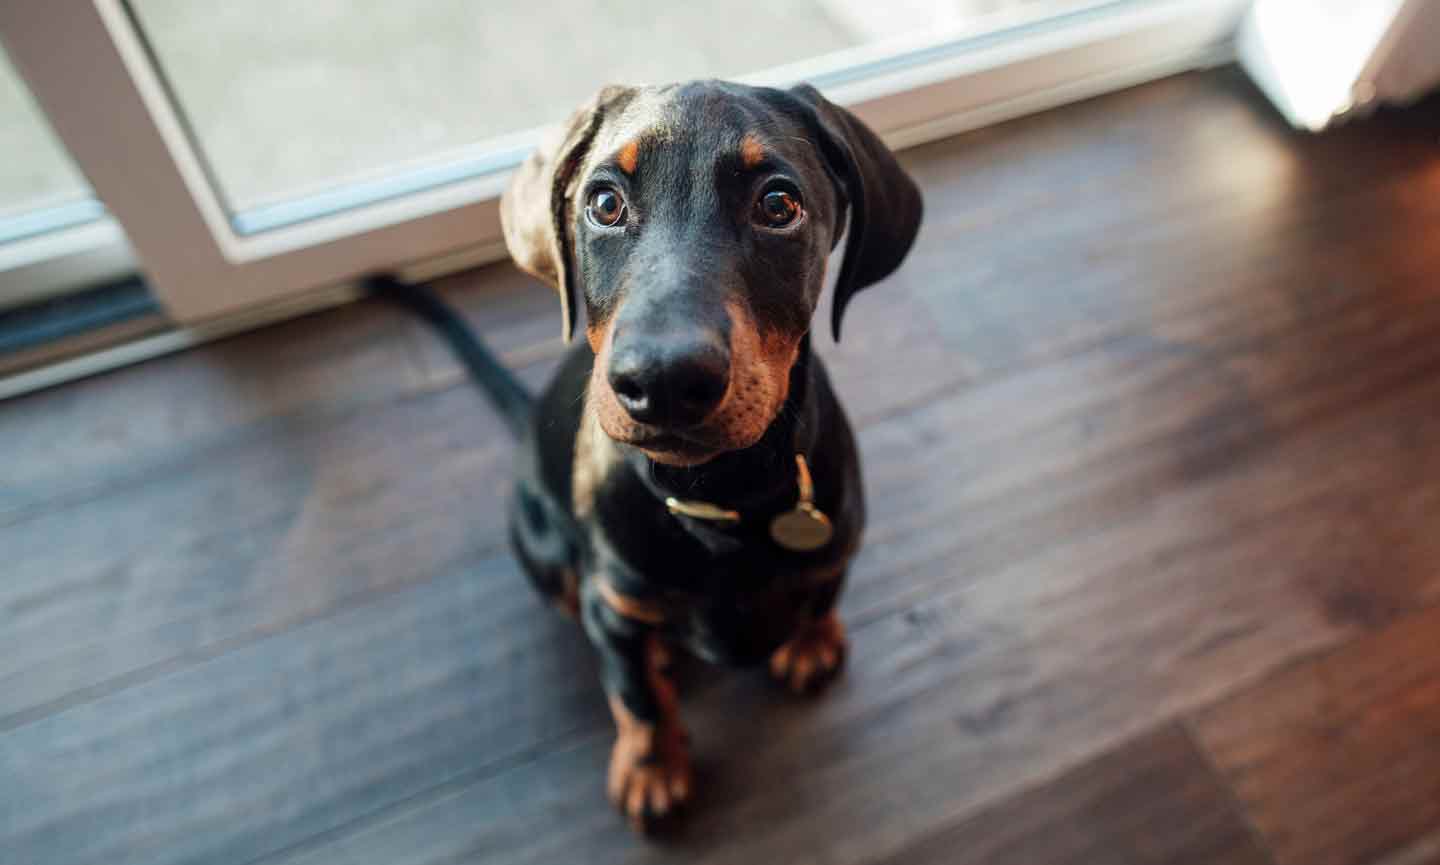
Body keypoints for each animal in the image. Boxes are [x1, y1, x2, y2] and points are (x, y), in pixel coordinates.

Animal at [380, 79, 921, 829]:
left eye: (778, 204)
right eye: (604, 203)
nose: (663, 380)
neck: (719, 496)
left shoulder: (836, 541)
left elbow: (820, 590)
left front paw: (812, 641)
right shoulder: (614, 603)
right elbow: (635, 694)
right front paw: (652, 767)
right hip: (548, 557)